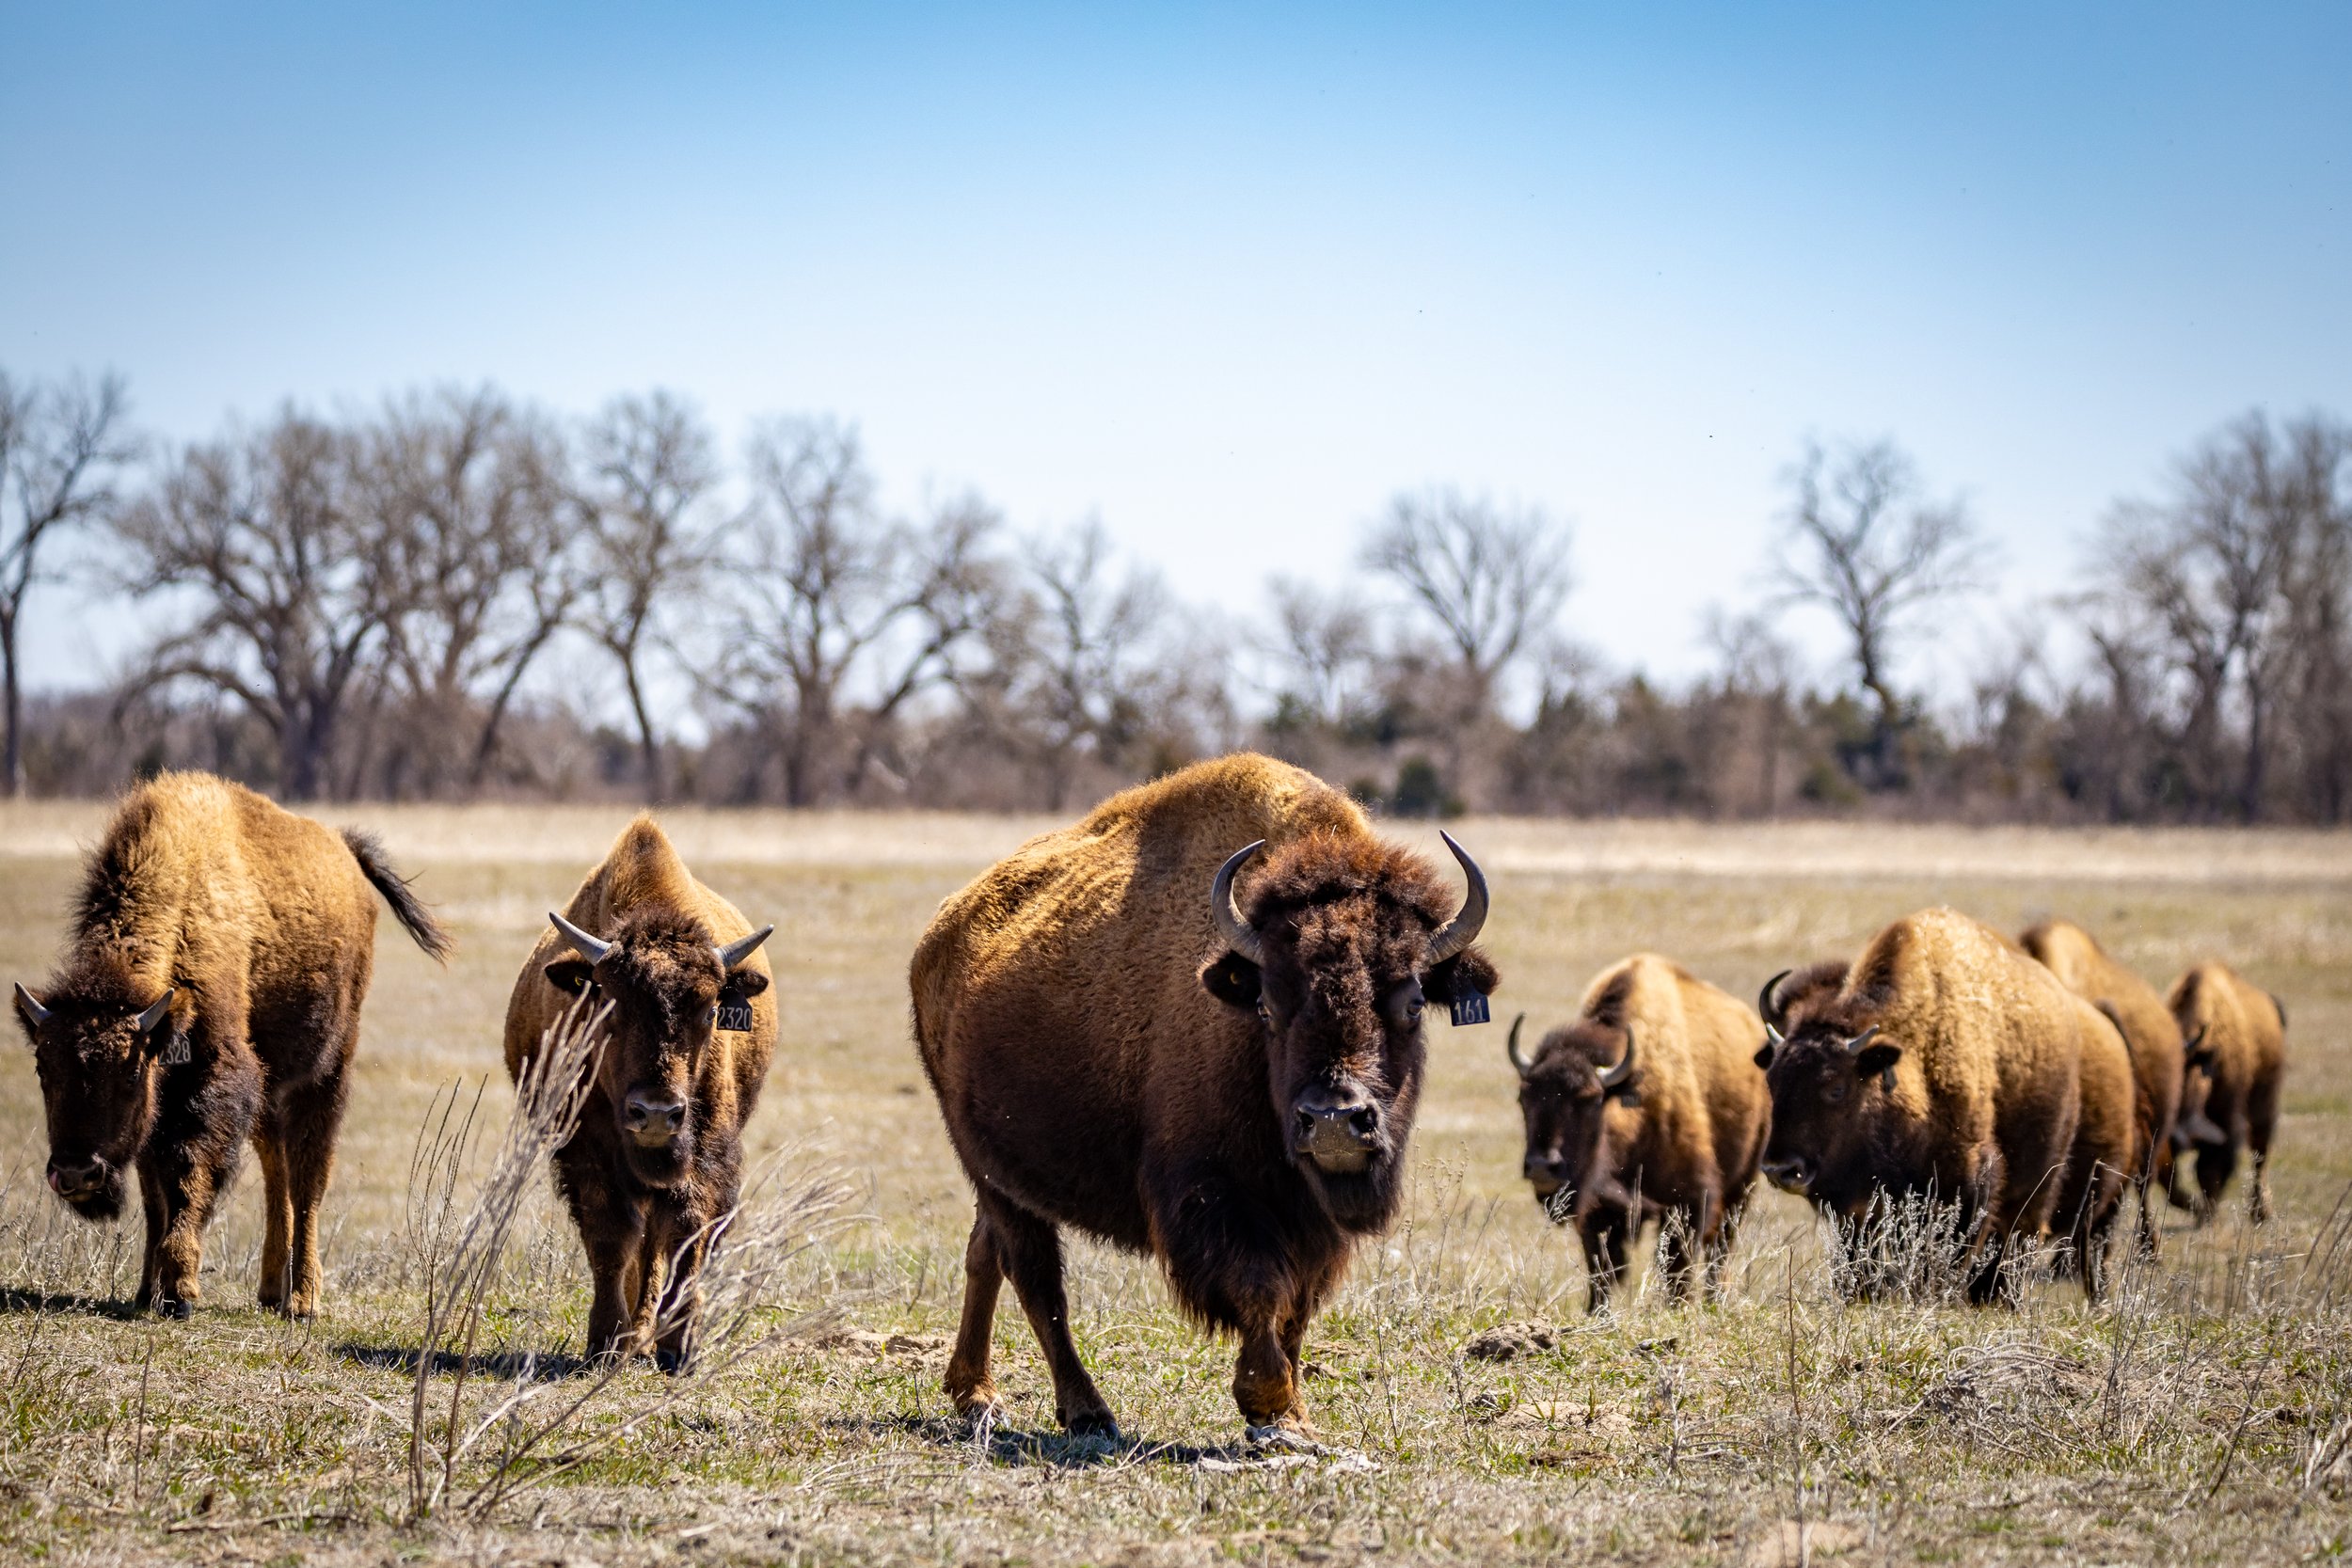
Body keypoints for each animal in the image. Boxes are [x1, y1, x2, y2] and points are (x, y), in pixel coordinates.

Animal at [11, 772, 449, 1318]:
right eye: (43, 1069)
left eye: (130, 1074)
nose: (76, 1174)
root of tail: (345, 850)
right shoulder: (161, 1109)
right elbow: (155, 1194)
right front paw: (146, 1292)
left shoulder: (214, 1082)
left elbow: (189, 1174)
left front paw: (180, 1290)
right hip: (272, 1087)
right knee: (277, 1167)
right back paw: (271, 1288)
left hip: (330, 1067)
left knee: (308, 1174)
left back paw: (302, 1299)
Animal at [503, 816, 777, 1368]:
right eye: (608, 1000)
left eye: (710, 1008)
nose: (654, 1113)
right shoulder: (586, 1150)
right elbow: (611, 1236)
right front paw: (607, 1341)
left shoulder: (707, 1153)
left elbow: (684, 1236)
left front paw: (677, 1346)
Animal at [910, 753, 1497, 1437]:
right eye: (1267, 1005)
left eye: (1412, 1002)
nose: (1332, 1121)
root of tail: (938, 938)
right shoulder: (1211, 1194)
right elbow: (1259, 1287)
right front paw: (1270, 1403)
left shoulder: (1312, 1222)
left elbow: (1296, 1305)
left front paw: (1295, 1413)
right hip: (988, 1168)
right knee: (1034, 1276)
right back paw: (1086, 1411)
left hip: (1002, 1176)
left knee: (987, 1254)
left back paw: (975, 1393)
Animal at [1507, 953, 1769, 1310]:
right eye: (1524, 1097)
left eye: (1591, 1099)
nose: (1541, 1167)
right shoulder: (1598, 1213)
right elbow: (1603, 1270)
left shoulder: (1688, 1202)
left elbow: (1676, 1270)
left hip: (1743, 1184)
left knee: (1721, 1250)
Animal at [1755, 908, 2138, 1302]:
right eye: (1773, 1082)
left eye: (1836, 1088)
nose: (1780, 1169)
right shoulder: (1855, 1206)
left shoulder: (1967, 1181)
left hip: (2043, 1180)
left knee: (2020, 1235)